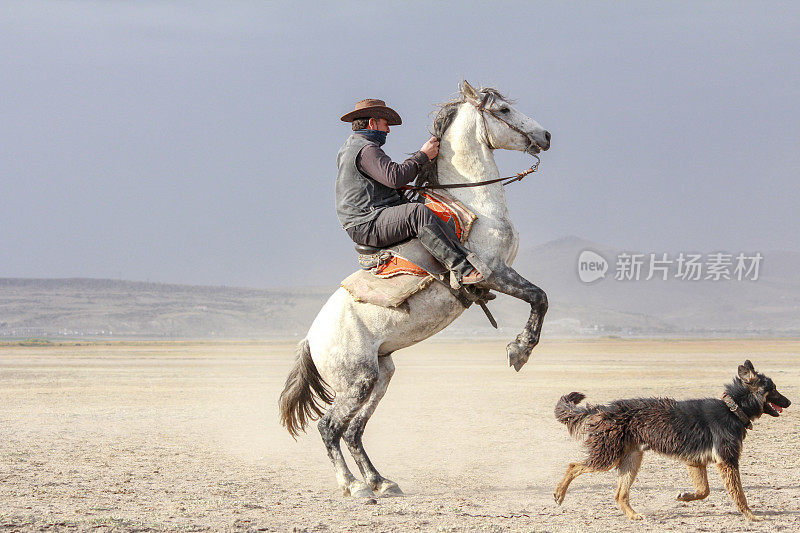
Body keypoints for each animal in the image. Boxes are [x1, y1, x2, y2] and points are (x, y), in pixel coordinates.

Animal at [280, 81, 552, 496]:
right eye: (504, 110)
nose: (546, 136)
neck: (475, 204)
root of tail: (310, 341)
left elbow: (540, 298)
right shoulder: (494, 271)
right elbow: (539, 297)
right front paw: (519, 351)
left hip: (381, 376)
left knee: (353, 431)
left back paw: (381, 482)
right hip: (357, 381)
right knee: (330, 427)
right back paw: (355, 487)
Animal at [552, 360, 792, 520]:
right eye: (774, 389)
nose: (789, 402)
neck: (733, 409)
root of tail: (602, 409)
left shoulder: (696, 462)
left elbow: (704, 491)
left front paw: (685, 496)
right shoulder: (727, 461)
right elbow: (739, 494)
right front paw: (751, 516)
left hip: (631, 460)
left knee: (620, 494)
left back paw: (633, 515)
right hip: (607, 457)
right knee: (573, 466)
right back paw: (559, 494)